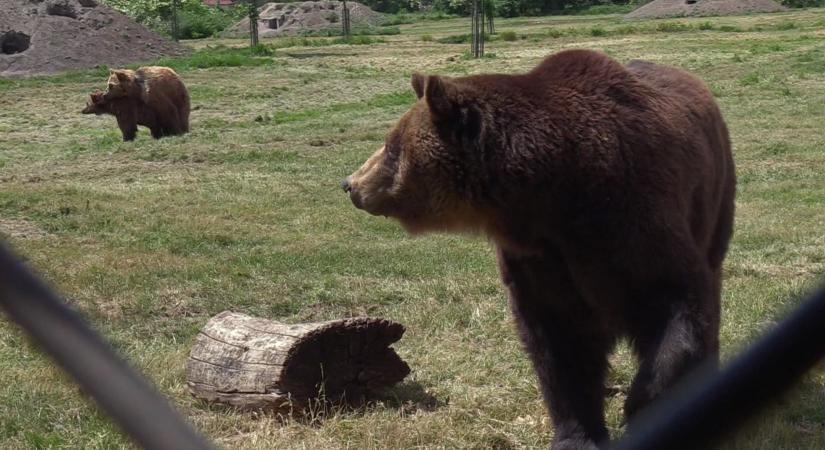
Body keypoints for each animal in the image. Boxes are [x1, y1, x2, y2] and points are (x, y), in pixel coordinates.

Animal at [342, 47, 732, 448]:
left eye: (392, 147)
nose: (351, 183)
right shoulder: (541, 261)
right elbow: (560, 351)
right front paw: (578, 434)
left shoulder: (635, 222)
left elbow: (677, 306)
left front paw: (644, 409)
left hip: (714, 202)